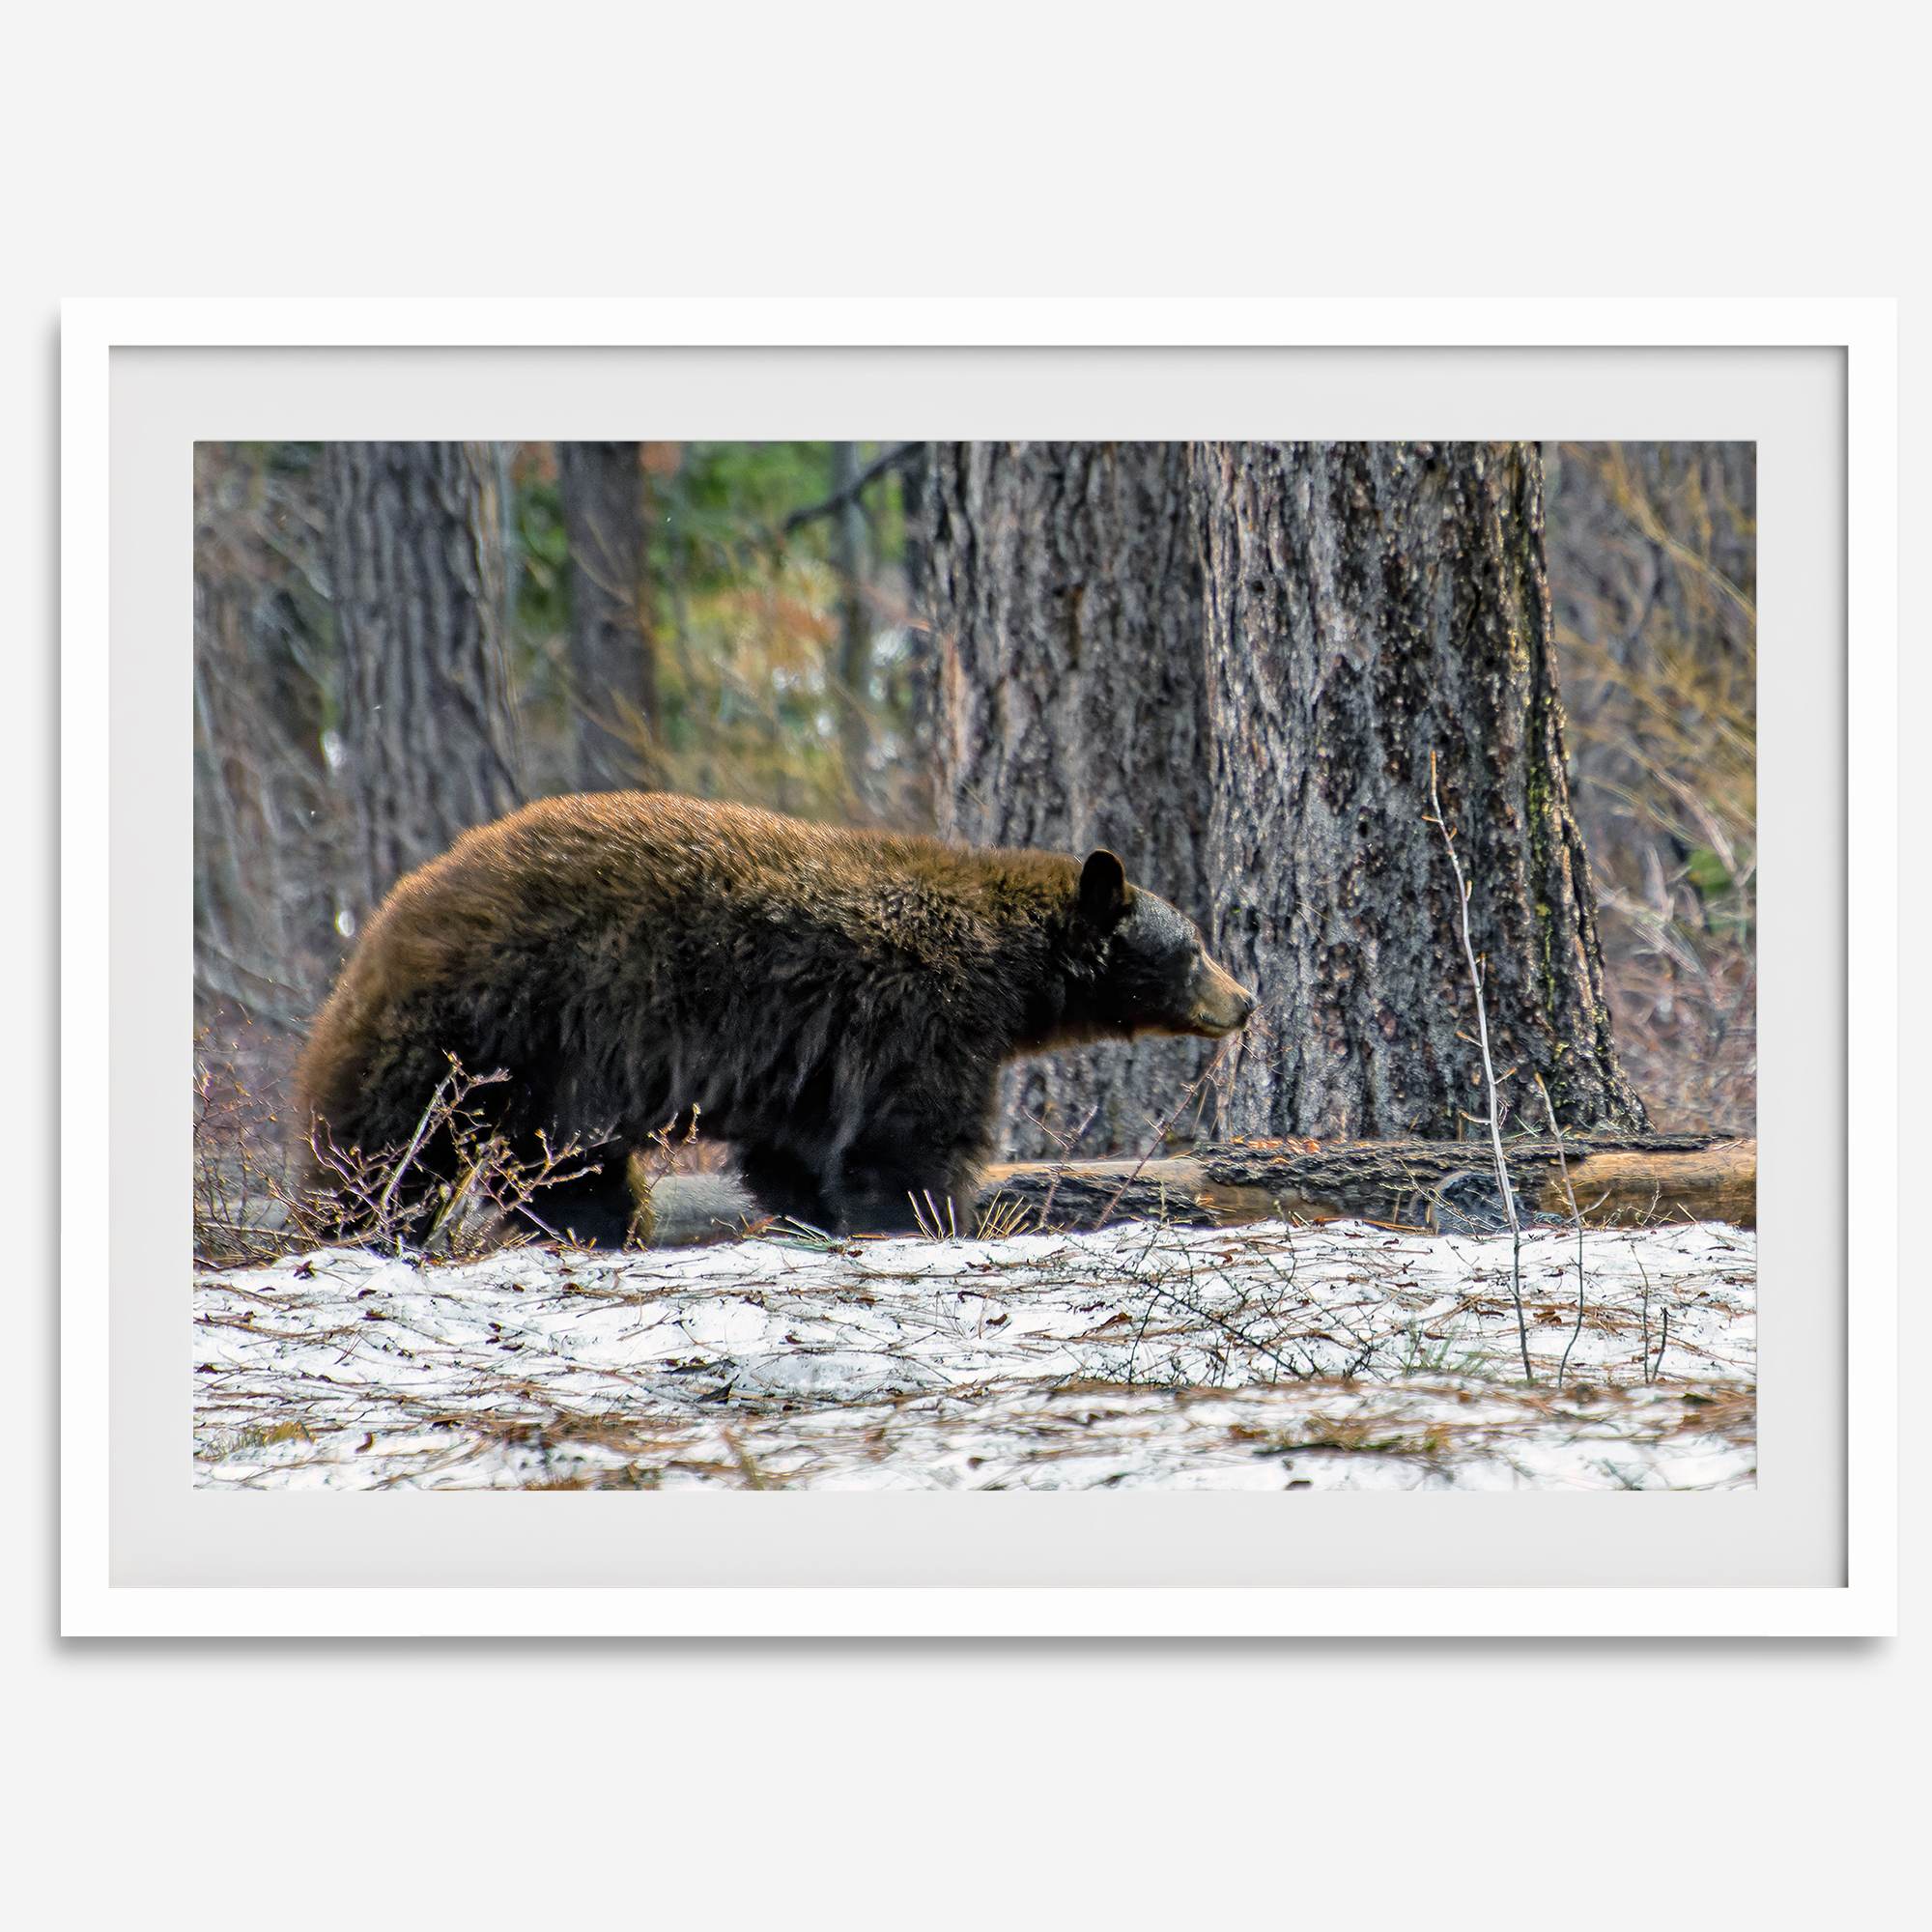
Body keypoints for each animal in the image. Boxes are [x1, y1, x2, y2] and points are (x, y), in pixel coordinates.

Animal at [293, 791, 1255, 1243]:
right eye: (1195, 946)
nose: (1245, 1001)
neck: (1008, 972)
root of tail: (387, 918)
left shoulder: (809, 1057)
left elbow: (796, 1151)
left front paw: (817, 1215)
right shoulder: (919, 1017)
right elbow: (909, 1139)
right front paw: (933, 1217)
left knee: (558, 1166)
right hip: (490, 1026)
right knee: (389, 1148)